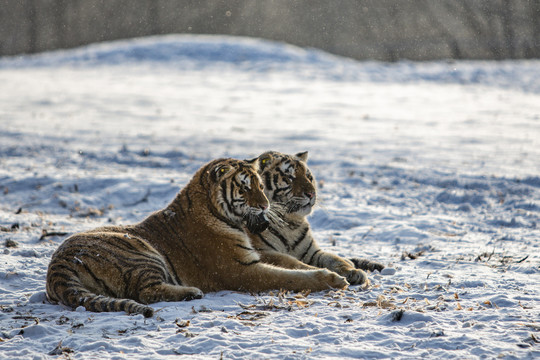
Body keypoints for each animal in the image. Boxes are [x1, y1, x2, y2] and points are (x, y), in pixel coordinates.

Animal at [249, 151, 384, 286]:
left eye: (308, 176)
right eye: (289, 177)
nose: (312, 194)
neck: (290, 224)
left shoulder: (312, 252)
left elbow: (333, 258)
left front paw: (354, 272)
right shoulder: (263, 251)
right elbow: (291, 262)